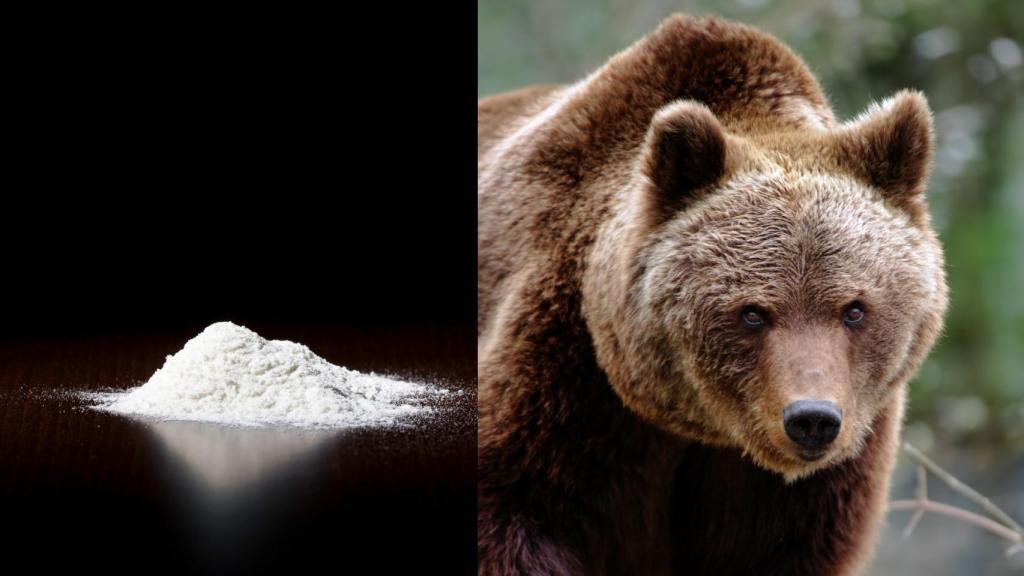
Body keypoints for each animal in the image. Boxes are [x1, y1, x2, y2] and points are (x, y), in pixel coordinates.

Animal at [478, 14, 948, 576]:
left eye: (854, 310)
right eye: (753, 313)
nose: (812, 420)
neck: (705, 429)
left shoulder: (815, 476)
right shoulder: (564, 372)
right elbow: (514, 512)